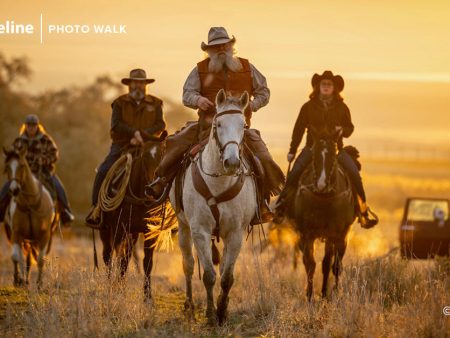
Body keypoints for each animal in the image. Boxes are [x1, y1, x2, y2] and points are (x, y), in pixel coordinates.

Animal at [2, 147, 55, 288]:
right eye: (7, 167)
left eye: (22, 166)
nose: (14, 190)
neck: (30, 205)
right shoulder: (16, 234)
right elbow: (16, 257)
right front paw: (18, 280)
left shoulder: (44, 235)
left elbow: (40, 260)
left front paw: (39, 284)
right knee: (21, 257)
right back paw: (22, 280)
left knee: (29, 259)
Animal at [170, 89, 256, 324]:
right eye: (218, 124)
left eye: (243, 125)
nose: (232, 163)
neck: (219, 183)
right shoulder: (200, 230)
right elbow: (208, 275)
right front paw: (209, 315)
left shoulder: (235, 233)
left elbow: (227, 277)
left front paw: (222, 312)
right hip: (184, 227)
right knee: (189, 264)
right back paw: (189, 305)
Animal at [288, 127, 358, 302]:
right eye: (314, 155)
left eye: (333, 155)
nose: (321, 185)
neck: (324, 199)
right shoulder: (307, 234)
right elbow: (310, 264)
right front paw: (309, 296)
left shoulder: (339, 234)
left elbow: (333, 265)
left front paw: (332, 293)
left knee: (330, 262)